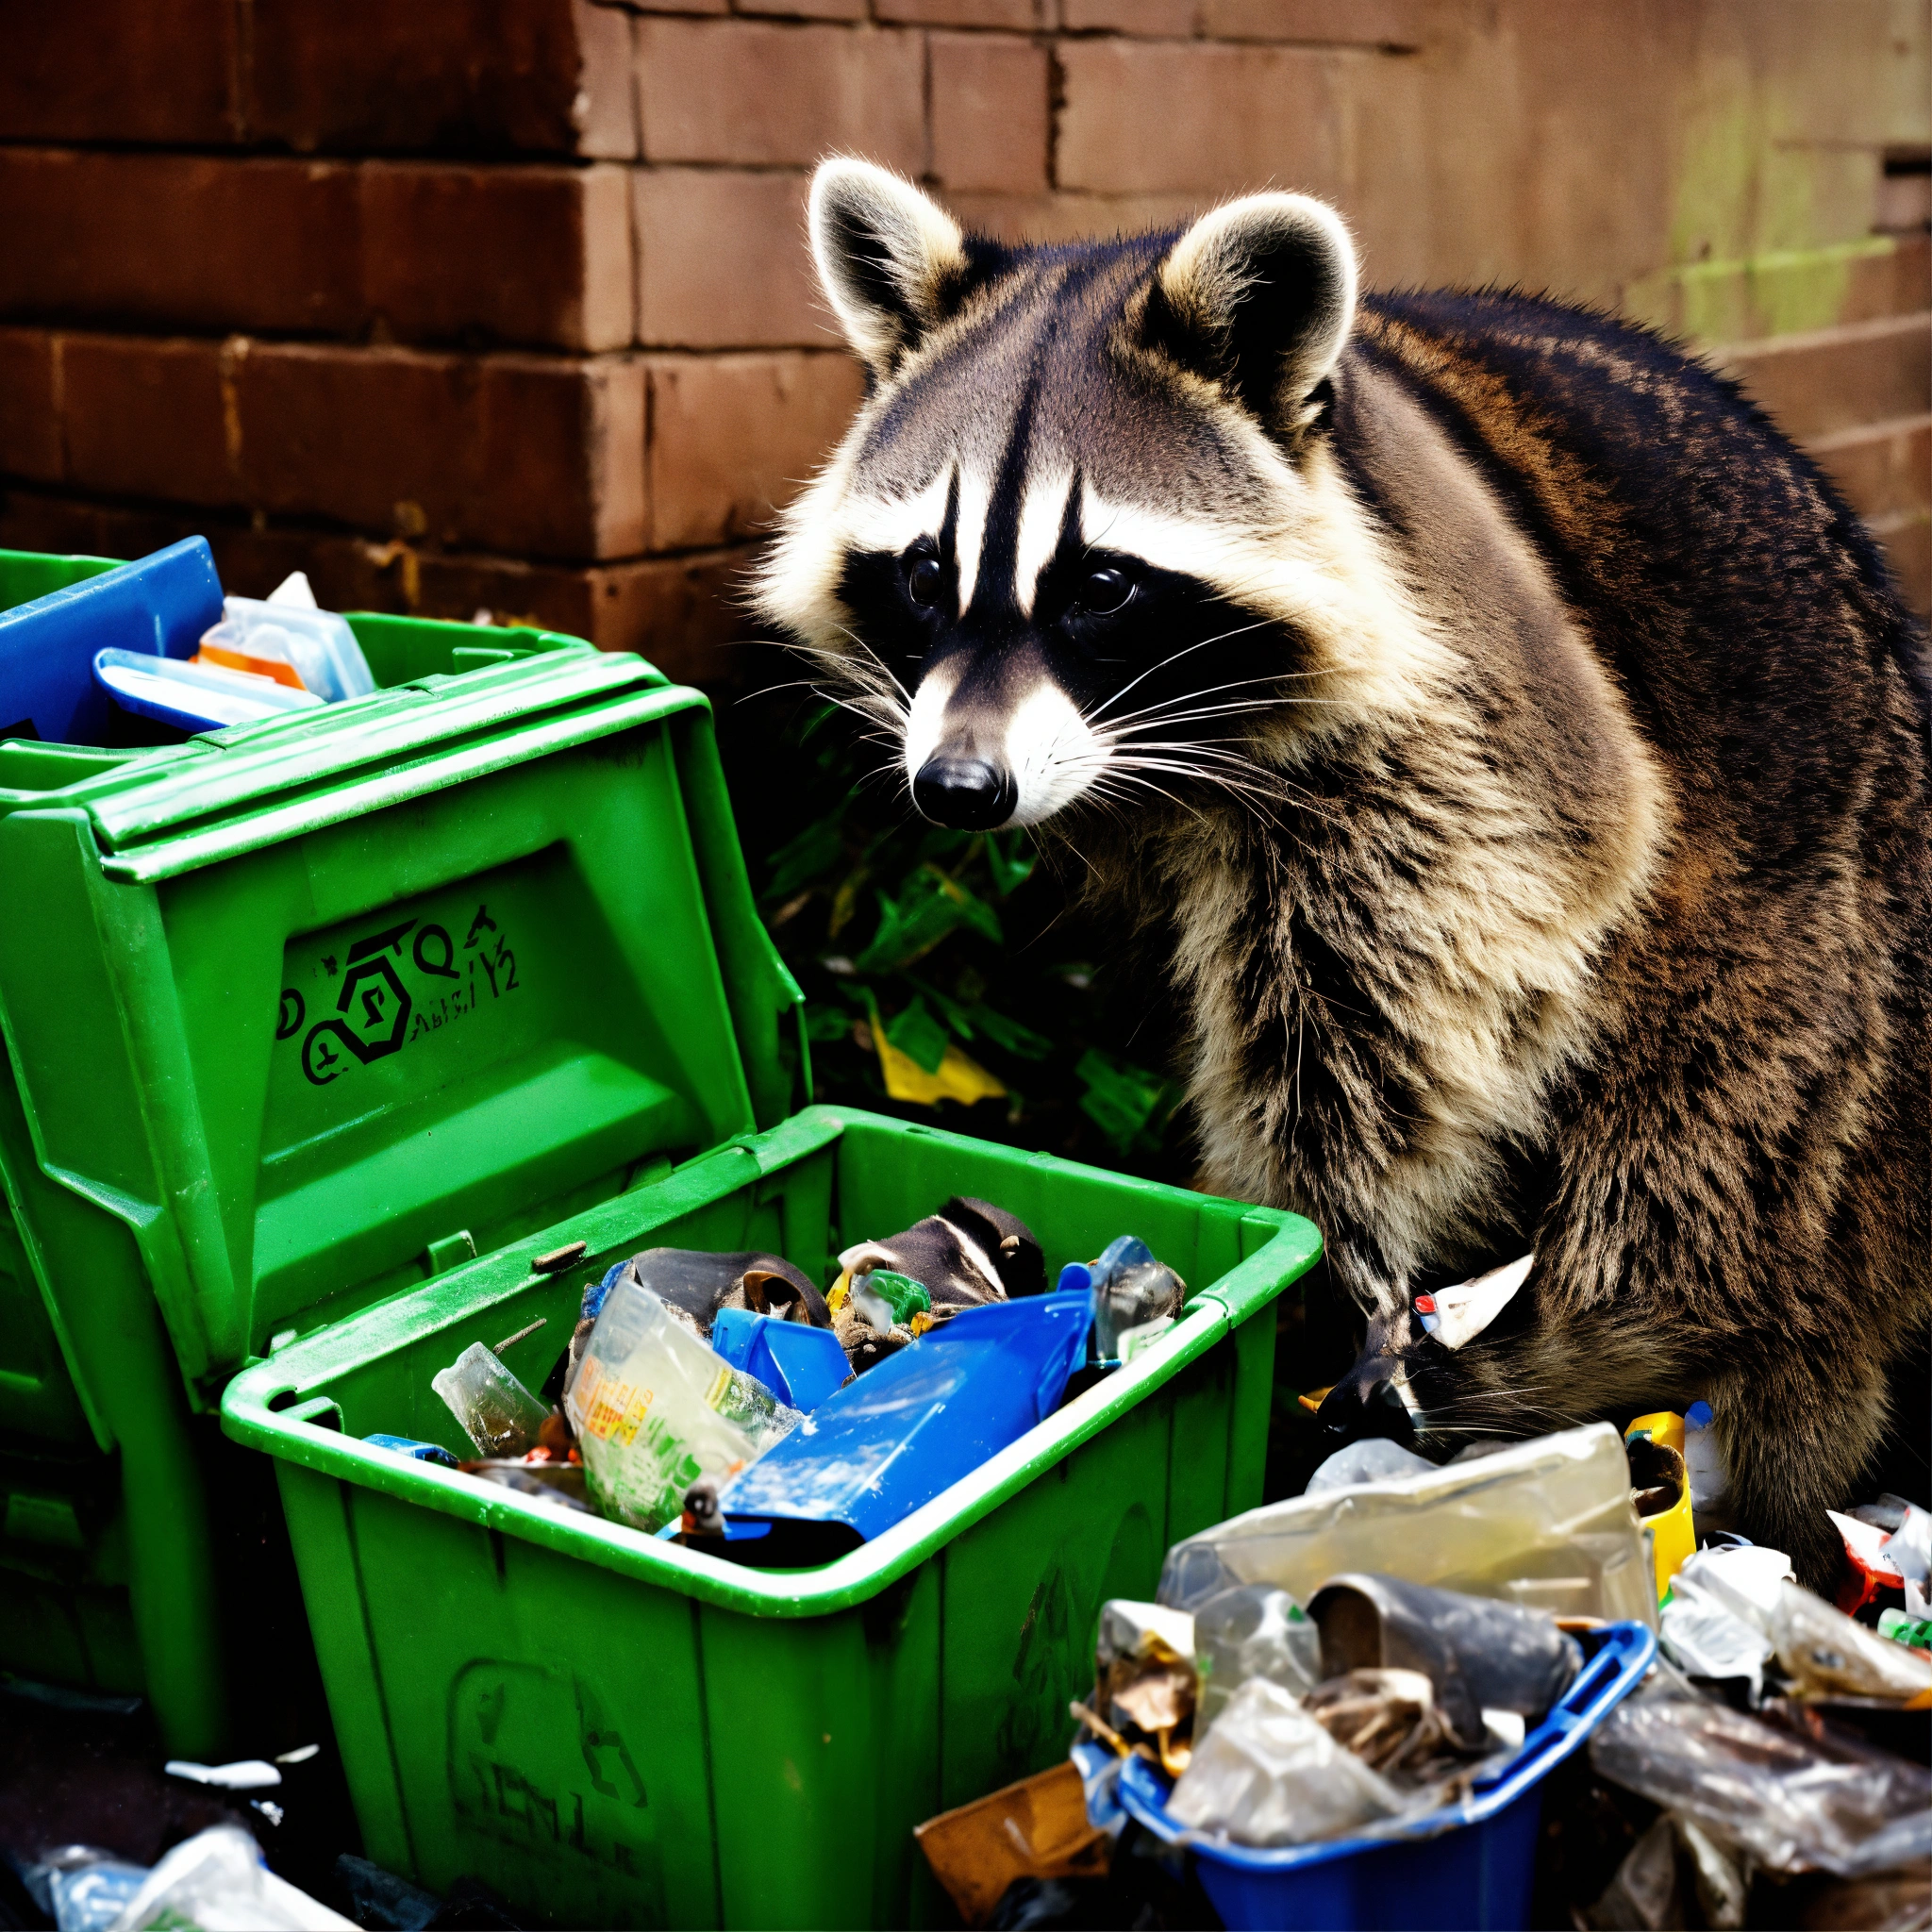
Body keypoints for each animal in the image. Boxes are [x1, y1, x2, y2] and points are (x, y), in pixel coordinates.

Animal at [755, 158, 1931, 1587]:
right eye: (927, 571)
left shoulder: (1467, 708)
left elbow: (1398, 991)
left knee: (1710, 1167)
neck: (1153, 760)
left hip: (1824, 957)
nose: (957, 789)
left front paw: (1342, 1265)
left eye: (1101, 584)